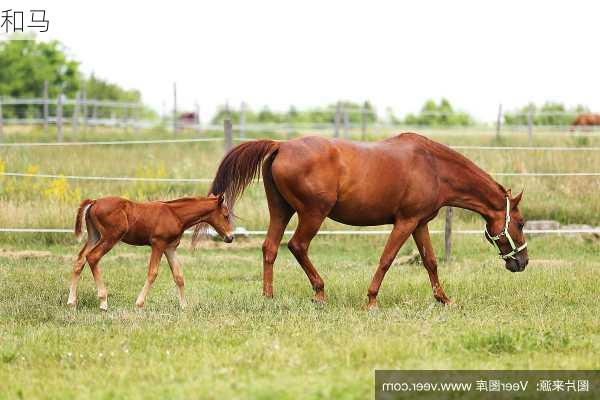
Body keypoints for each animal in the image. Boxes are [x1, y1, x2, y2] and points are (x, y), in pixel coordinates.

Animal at [67, 195, 232, 310]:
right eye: (226, 215)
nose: (230, 237)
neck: (175, 214)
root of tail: (94, 202)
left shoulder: (170, 247)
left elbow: (178, 276)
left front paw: (184, 306)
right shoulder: (158, 244)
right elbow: (153, 273)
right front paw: (139, 303)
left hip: (94, 235)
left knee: (80, 259)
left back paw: (71, 301)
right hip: (110, 237)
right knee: (92, 257)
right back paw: (103, 302)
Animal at [202, 133, 528, 308]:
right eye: (522, 223)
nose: (522, 262)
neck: (433, 166)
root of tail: (281, 144)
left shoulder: (419, 223)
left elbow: (430, 262)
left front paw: (444, 299)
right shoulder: (405, 222)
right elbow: (386, 260)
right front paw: (371, 300)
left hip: (281, 211)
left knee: (270, 247)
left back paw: (269, 297)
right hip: (313, 213)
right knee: (297, 246)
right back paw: (319, 293)